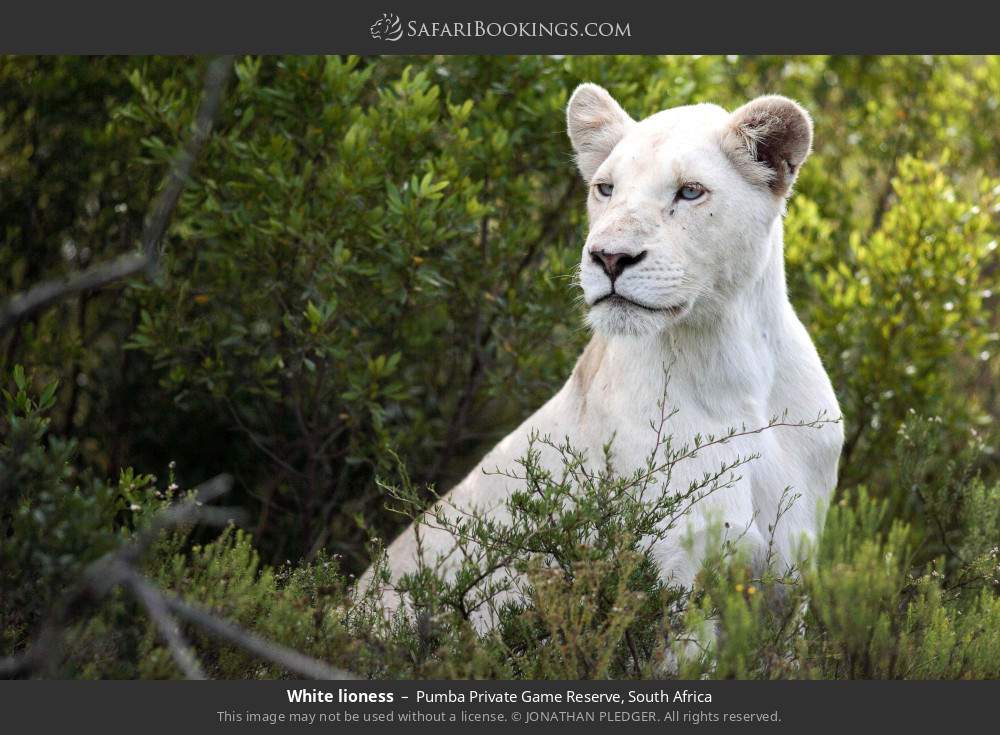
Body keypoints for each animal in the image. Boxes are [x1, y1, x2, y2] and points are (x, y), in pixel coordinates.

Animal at [356, 84, 844, 633]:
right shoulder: (672, 580)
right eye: (606, 189)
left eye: (690, 192)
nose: (609, 258)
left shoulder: (791, 578)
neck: (733, 366)